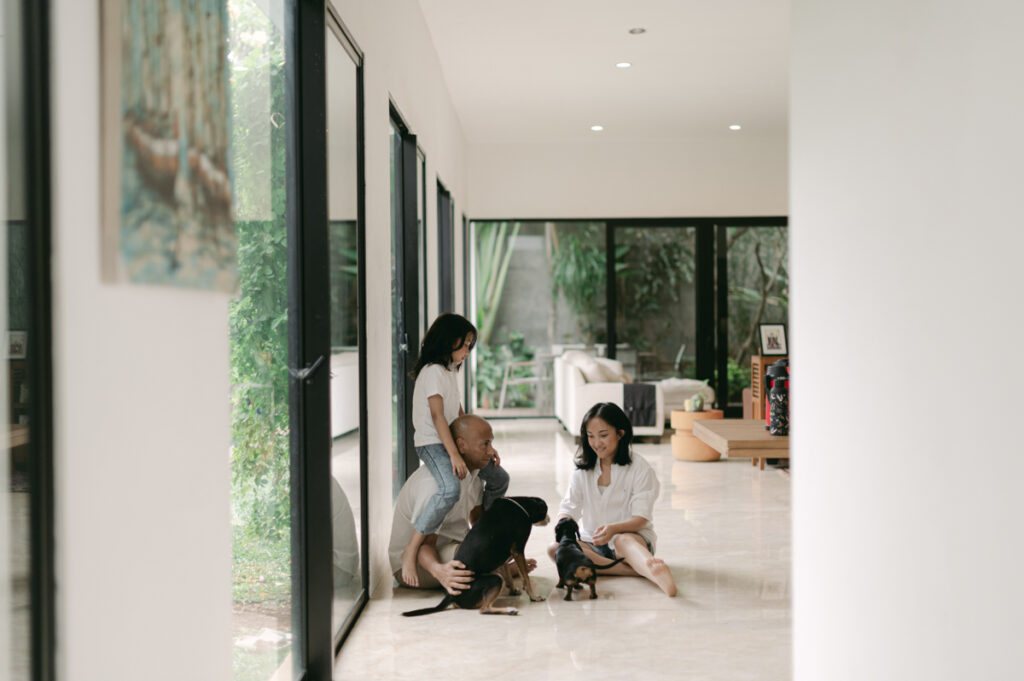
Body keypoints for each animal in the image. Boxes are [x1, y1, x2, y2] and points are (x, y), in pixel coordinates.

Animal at [402, 496, 549, 616]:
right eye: (546, 510)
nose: (549, 518)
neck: (521, 505)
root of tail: (451, 595)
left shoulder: (503, 555)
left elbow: (508, 575)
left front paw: (513, 590)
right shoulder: (518, 550)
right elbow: (526, 577)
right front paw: (534, 597)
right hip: (496, 579)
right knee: (484, 609)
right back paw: (509, 610)